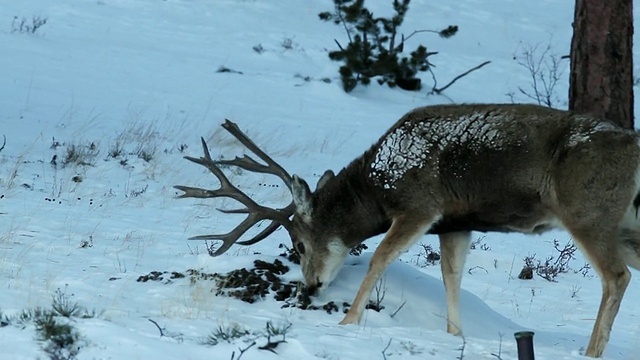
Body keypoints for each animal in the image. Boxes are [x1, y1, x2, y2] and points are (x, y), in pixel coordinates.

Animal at [174, 104, 640, 358]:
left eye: (301, 244)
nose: (311, 288)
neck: (375, 187)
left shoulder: (419, 204)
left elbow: (380, 257)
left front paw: (349, 320)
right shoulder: (455, 223)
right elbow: (452, 276)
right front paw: (455, 334)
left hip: (589, 211)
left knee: (616, 276)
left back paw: (591, 351)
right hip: (625, 225)